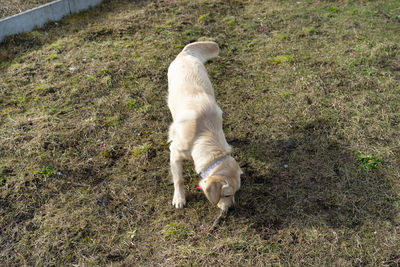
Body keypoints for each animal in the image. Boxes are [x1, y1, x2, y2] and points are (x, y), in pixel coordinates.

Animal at [167, 42, 242, 213]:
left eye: (236, 192)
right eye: (226, 194)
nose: (232, 208)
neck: (203, 135)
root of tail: (186, 53)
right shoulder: (174, 152)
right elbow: (179, 179)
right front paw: (179, 198)